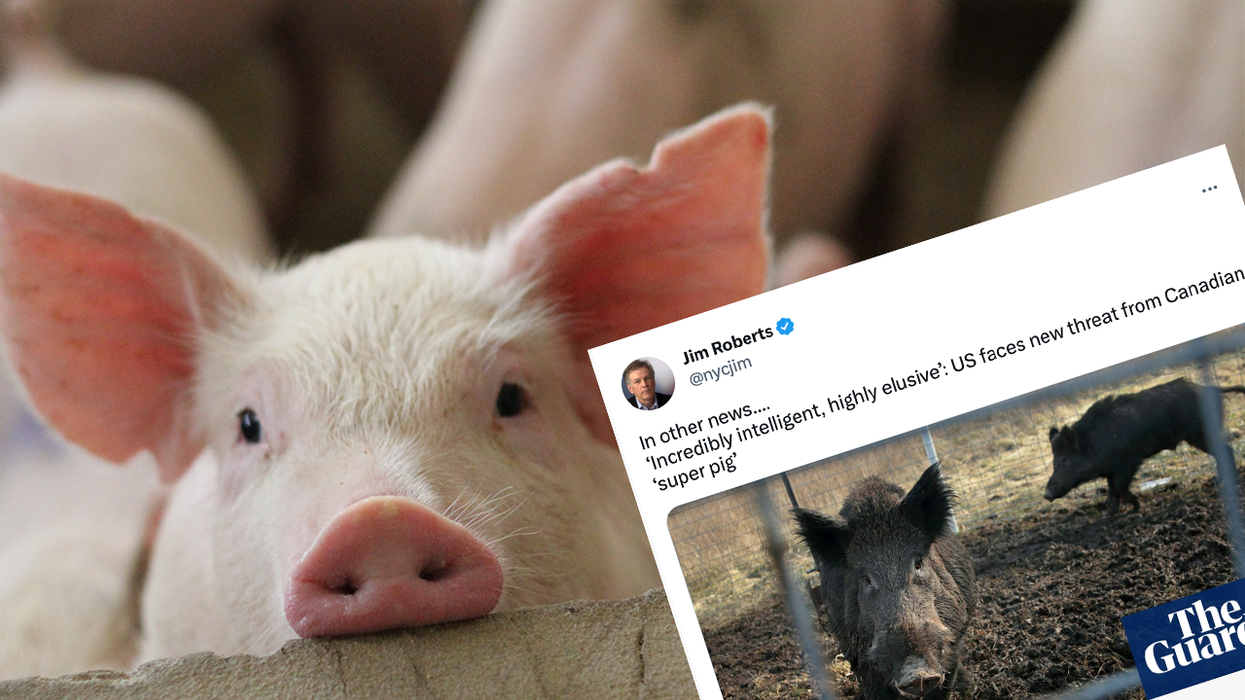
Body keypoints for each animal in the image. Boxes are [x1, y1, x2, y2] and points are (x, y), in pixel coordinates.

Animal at [1044, 378, 1245, 515]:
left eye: (1064, 460)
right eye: (1054, 462)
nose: (1046, 495)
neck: (1093, 444)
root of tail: (1209, 388)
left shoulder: (1128, 462)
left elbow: (1119, 487)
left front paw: (1137, 507)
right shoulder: (1110, 469)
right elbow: (1111, 492)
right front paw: (1109, 516)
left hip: (1199, 433)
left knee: (1226, 450)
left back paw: (1226, 481)